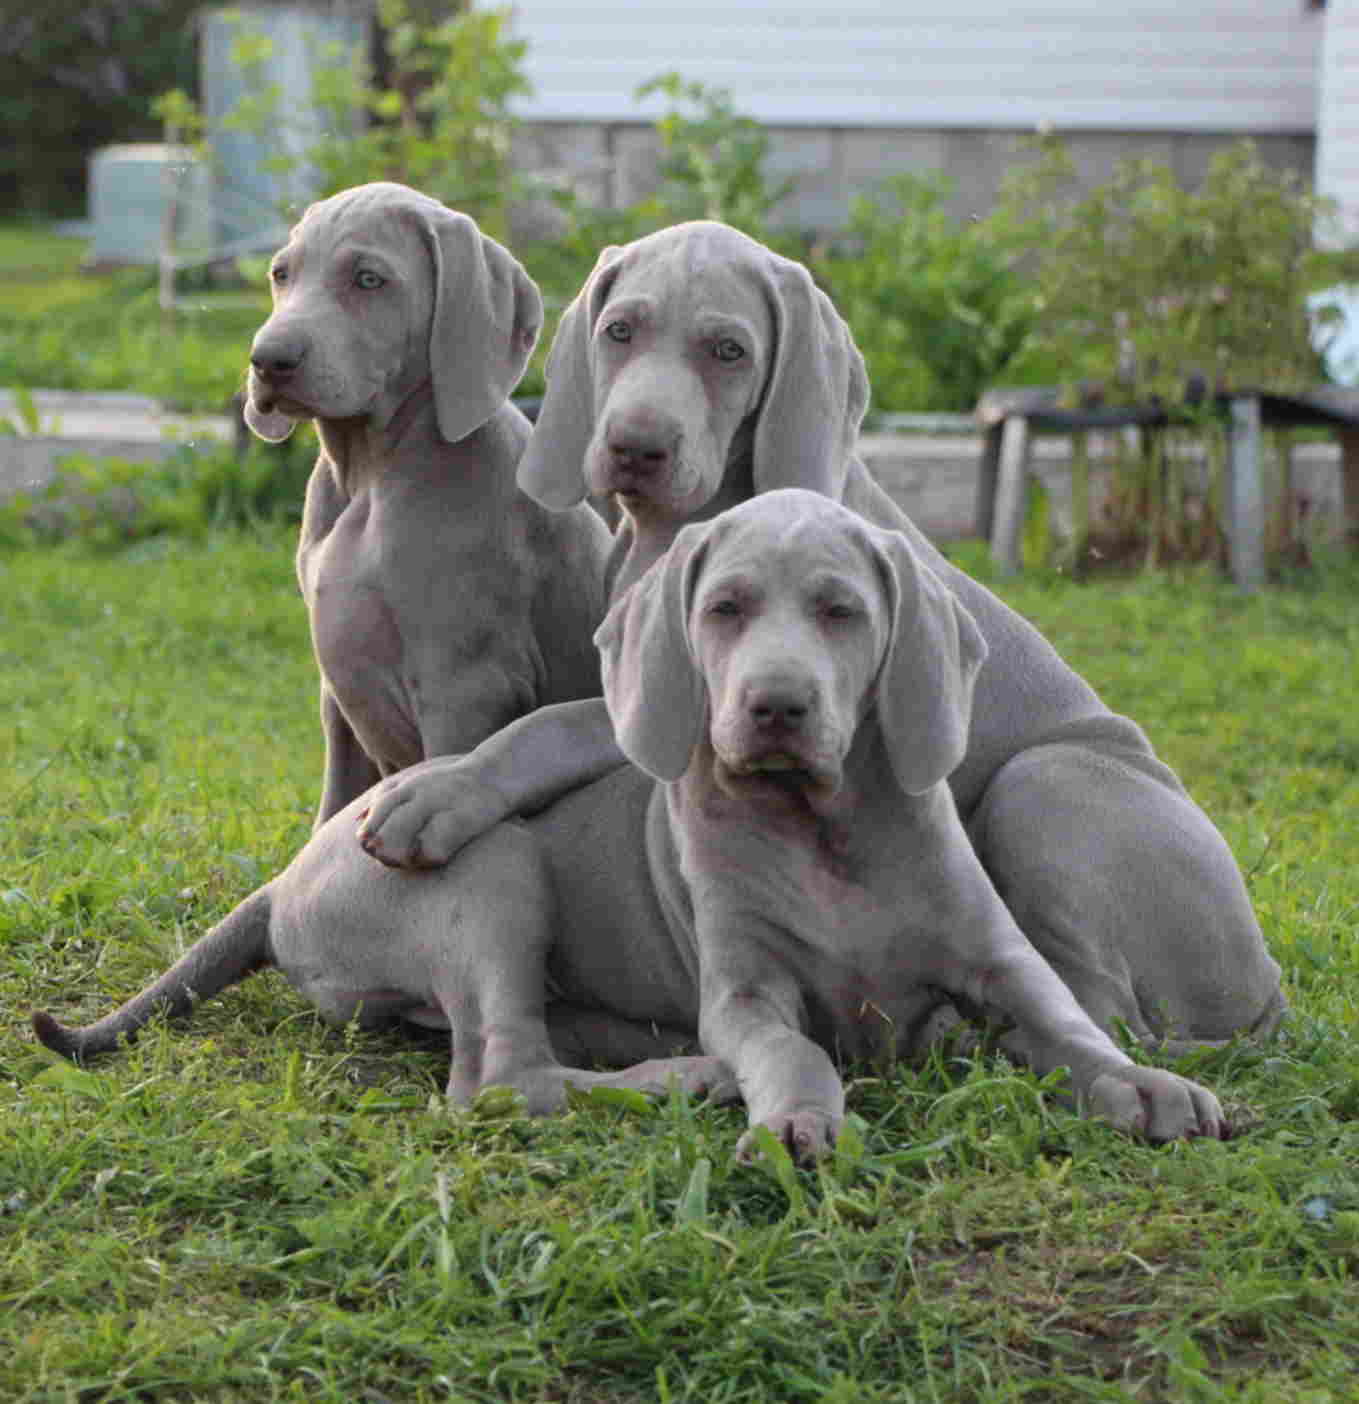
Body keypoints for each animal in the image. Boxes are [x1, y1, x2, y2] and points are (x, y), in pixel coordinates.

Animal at [31, 488, 1224, 1156]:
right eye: (724, 609)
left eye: (841, 611)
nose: (775, 707)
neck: (825, 836)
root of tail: (287, 877)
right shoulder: (745, 991)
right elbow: (791, 1048)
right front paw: (793, 1116)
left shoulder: (1000, 959)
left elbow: (1069, 1024)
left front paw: (1149, 1088)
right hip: (493, 869)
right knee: (496, 1084)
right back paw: (683, 1078)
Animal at [241, 182, 606, 825]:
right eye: (281, 275)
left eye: (368, 280)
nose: (268, 360)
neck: (367, 474)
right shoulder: (339, 696)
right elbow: (334, 806)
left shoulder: (463, 688)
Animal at [358, 216, 1285, 1055]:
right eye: (619, 332)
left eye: (727, 351)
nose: (634, 447)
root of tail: (1268, 984)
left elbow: (545, 727)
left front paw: (438, 792)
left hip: (1046, 781)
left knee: (1102, 1011)